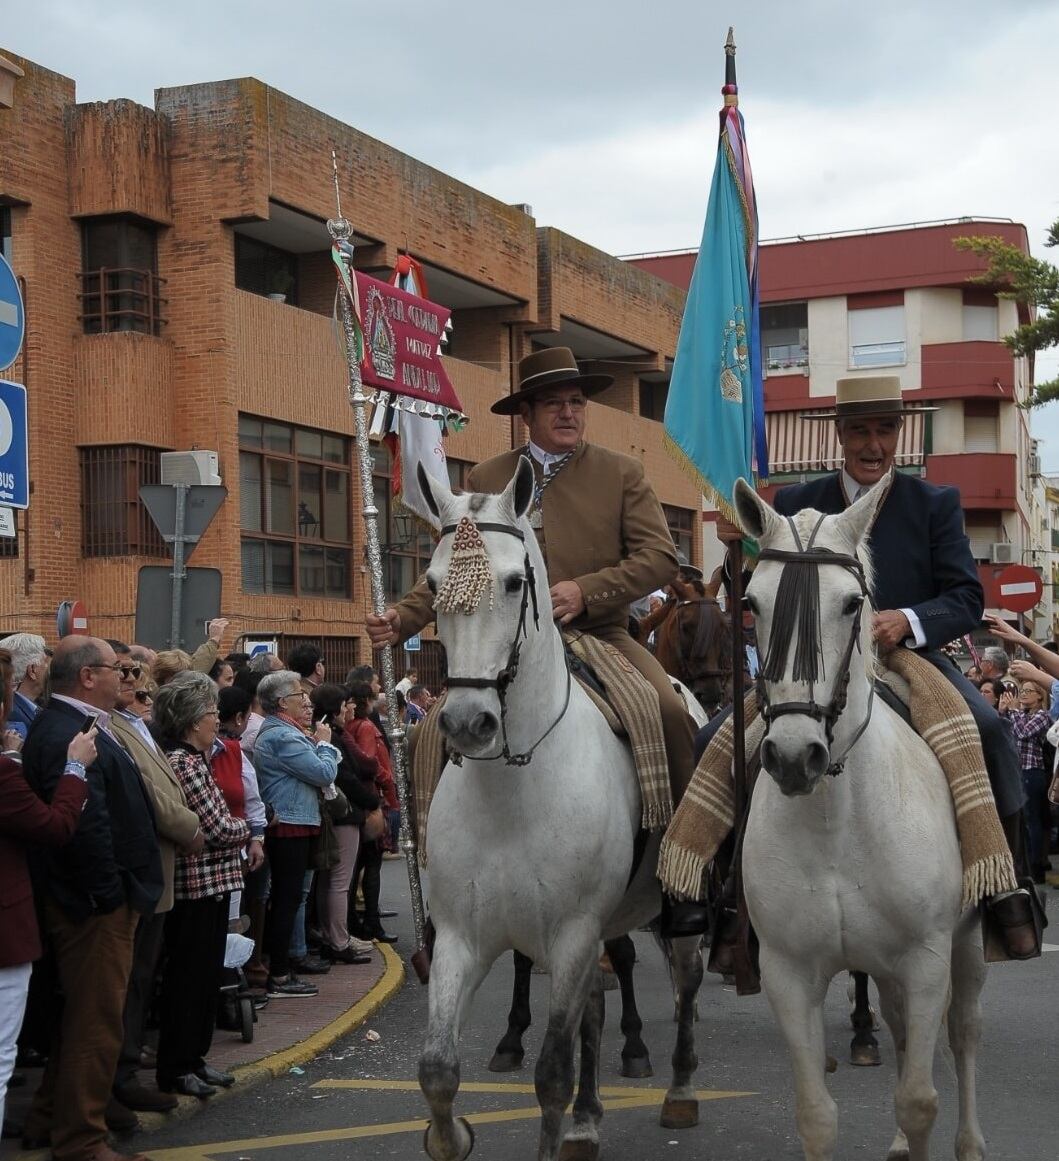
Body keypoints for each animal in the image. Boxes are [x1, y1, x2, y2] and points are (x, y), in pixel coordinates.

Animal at [418, 457, 706, 1161]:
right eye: (433, 583)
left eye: (516, 581)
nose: (468, 723)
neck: (511, 788)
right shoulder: (461, 939)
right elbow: (438, 1069)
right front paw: (452, 1136)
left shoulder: (573, 934)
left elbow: (550, 1072)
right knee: (597, 1009)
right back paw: (587, 1120)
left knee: (686, 979)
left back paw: (680, 1092)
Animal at [733, 478, 989, 1161]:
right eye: (751, 602)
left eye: (853, 604)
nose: (794, 755)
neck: (836, 821)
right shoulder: (789, 973)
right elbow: (817, 1115)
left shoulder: (926, 960)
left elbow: (920, 1100)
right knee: (900, 1033)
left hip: (965, 946)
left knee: (963, 1035)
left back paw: (971, 1142)